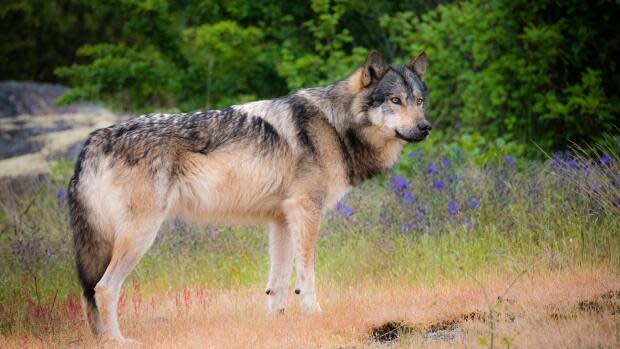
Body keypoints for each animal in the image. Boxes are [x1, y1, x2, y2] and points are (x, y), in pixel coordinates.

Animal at [69, 50, 432, 342]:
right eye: (395, 100)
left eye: (419, 101)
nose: (426, 127)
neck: (335, 126)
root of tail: (94, 139)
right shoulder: (306, 211)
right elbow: (307, 274)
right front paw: (313, 313)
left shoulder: (282, 220)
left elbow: (279, 283)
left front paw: (278, 324)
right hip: (139, 236)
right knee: (103, 288)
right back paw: (117, 341)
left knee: (91, 292)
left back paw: (99, 339)